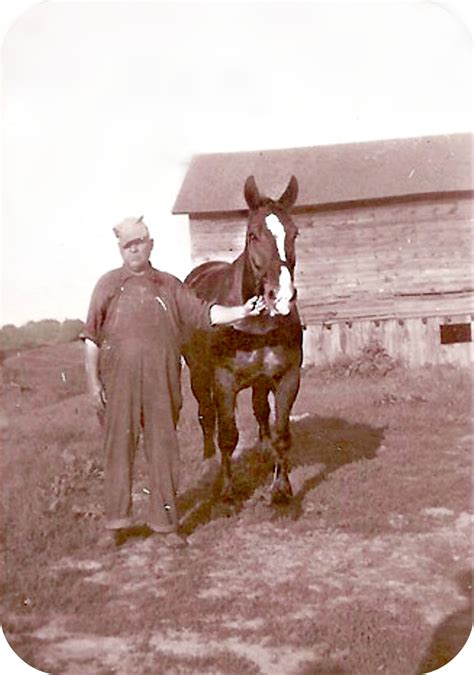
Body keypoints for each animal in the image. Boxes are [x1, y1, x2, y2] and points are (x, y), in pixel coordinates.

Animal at [183, 174, 302, 502]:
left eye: (294, 233)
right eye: (252, 235)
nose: (281, 296)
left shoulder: (287, 377)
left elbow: (281, 432)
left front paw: (281, 488)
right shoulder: (223, 380)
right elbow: (227, 435)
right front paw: (226, 489)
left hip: (260, 380)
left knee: (260, 410)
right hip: (199, 376)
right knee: (206, 415)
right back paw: (209, 463)